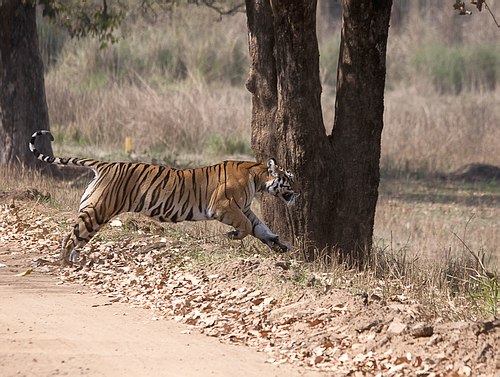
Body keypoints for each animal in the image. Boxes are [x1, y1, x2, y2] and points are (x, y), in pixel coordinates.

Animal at [29, 129, 298, 264]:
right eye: (291, 178)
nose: (299, 192)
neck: (258, 177)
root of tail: (105, 164)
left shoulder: (246, 209)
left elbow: (261, 228)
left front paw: (280, 245)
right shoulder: (223, 206)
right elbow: (247, 227)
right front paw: (233, 236)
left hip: (93, 212)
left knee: (76, 238)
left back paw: (75, 261)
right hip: (97, 212)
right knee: (69, 238)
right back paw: (63, 264)